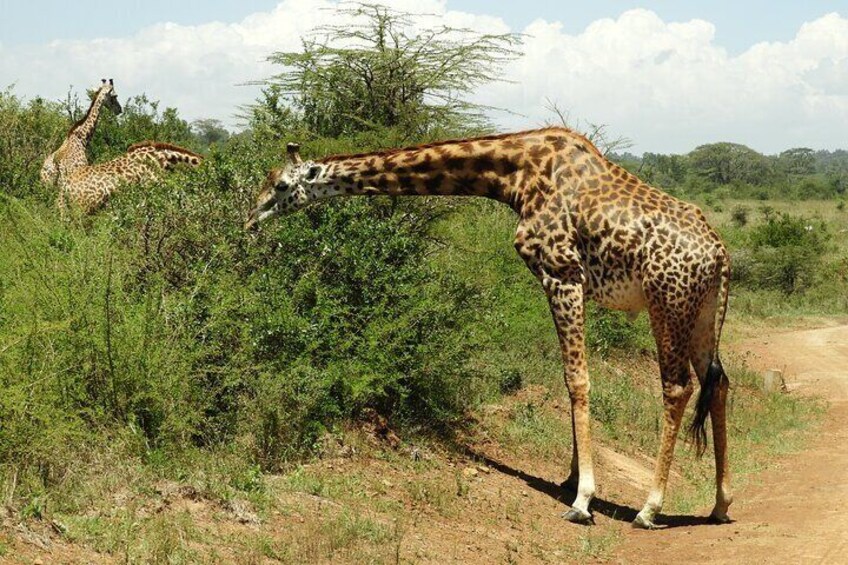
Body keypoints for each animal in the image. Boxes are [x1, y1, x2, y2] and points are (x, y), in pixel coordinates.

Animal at [247, 128, 736, 528]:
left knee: (677, 387)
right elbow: (567, 379)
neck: (516, 173)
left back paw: (649, 508)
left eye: (281, 186)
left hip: (666, 302)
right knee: (720, 382)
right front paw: (570, 478)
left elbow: (578, 379)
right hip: (703, 311)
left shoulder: (561, 272)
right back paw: (720, 503)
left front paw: (582, 500)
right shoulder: (561, 280)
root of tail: (720, 254)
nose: (249, 220)